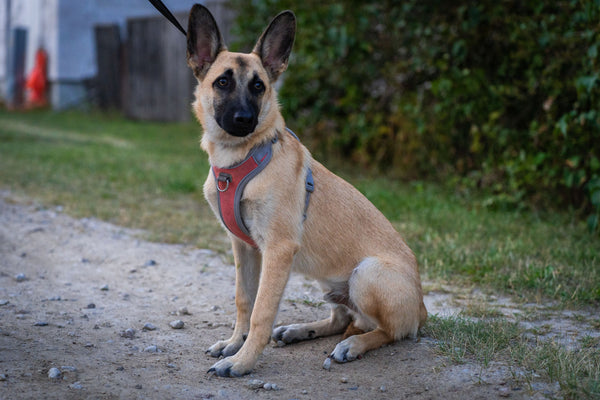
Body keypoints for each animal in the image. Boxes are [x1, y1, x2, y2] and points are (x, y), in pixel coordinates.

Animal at [188, 3, 426, 378]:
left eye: (259, 86)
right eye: (222, 82)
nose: (244, 120)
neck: (243, 157)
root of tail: (422, 307)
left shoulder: (278, 250)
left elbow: (261, 312)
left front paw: (243, 361)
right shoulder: (244, 248)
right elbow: (244, 301)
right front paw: (234, 344)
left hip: (367, 273)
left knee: (388, 331)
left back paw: (353, 345)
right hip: (328, 280)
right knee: (341, 318)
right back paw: (302, 330)